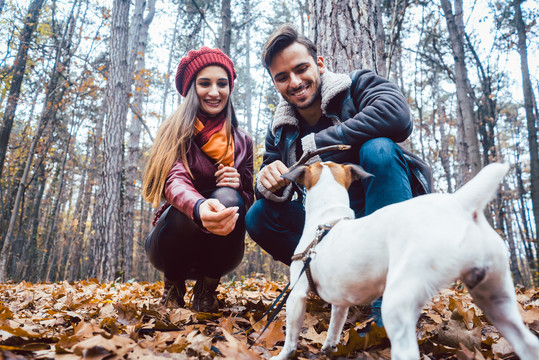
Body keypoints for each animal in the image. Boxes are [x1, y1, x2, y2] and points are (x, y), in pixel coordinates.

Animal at [272, 162, 539, 360]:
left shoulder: (297, 294)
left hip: (398, 302)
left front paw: (283, 355)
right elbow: (334, 328)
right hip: (496, 299)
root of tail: (458, 204)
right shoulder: (340, 303)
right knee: (527, 343)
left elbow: (292, 337)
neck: (328, 218)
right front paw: (329, 348)